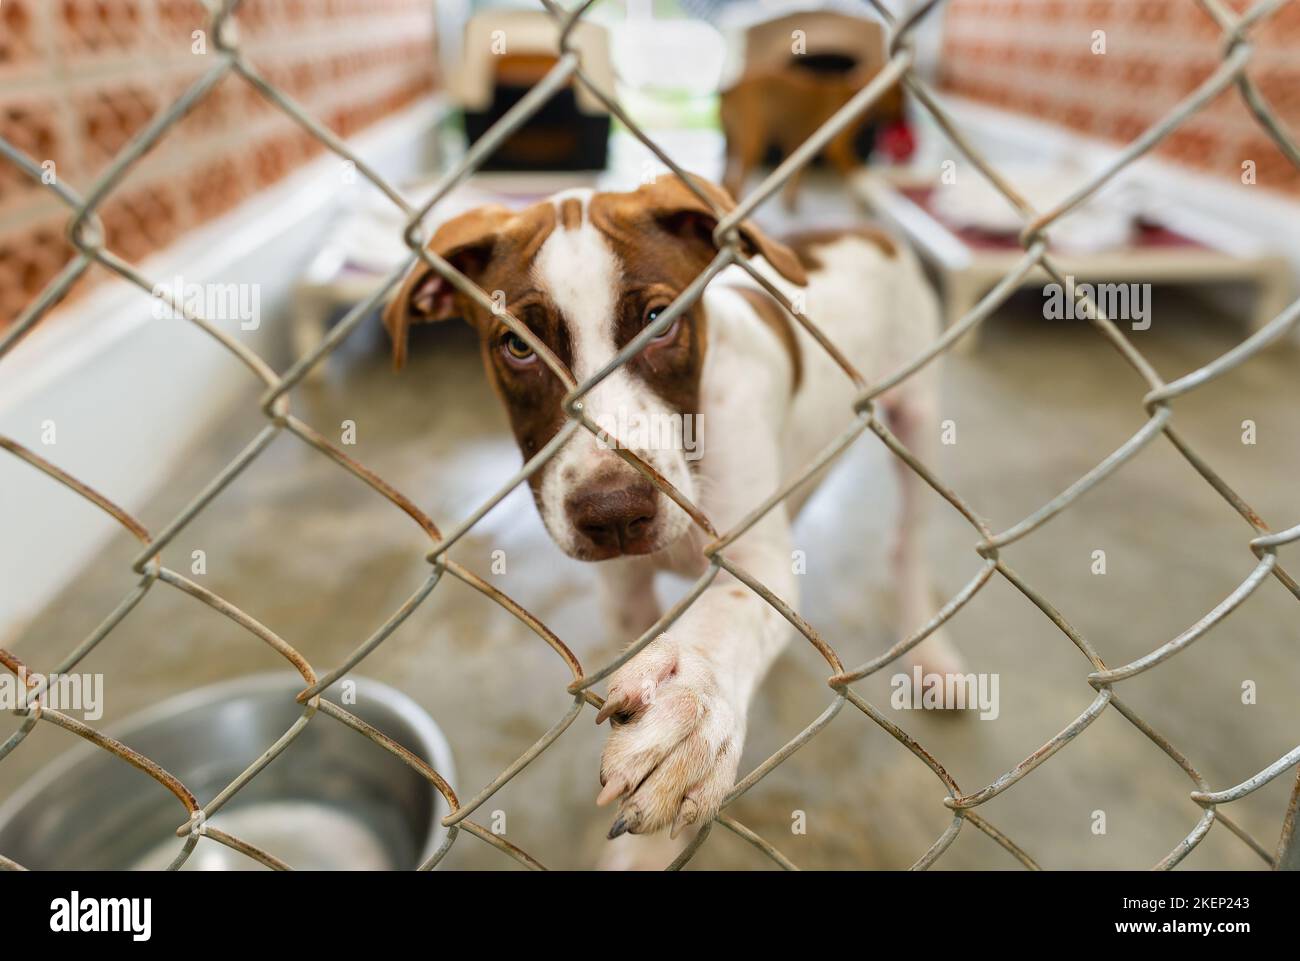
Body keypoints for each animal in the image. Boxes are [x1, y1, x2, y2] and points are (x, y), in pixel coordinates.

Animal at [379, 176, 961, 868]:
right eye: (518, 346)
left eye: (659, 324)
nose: (613, 513)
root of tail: (864, 228)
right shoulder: (624, 592)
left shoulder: (755, 560)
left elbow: (728, 616)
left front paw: (693, 708)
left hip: (918, 420)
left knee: (910, 543)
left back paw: (930, 657)